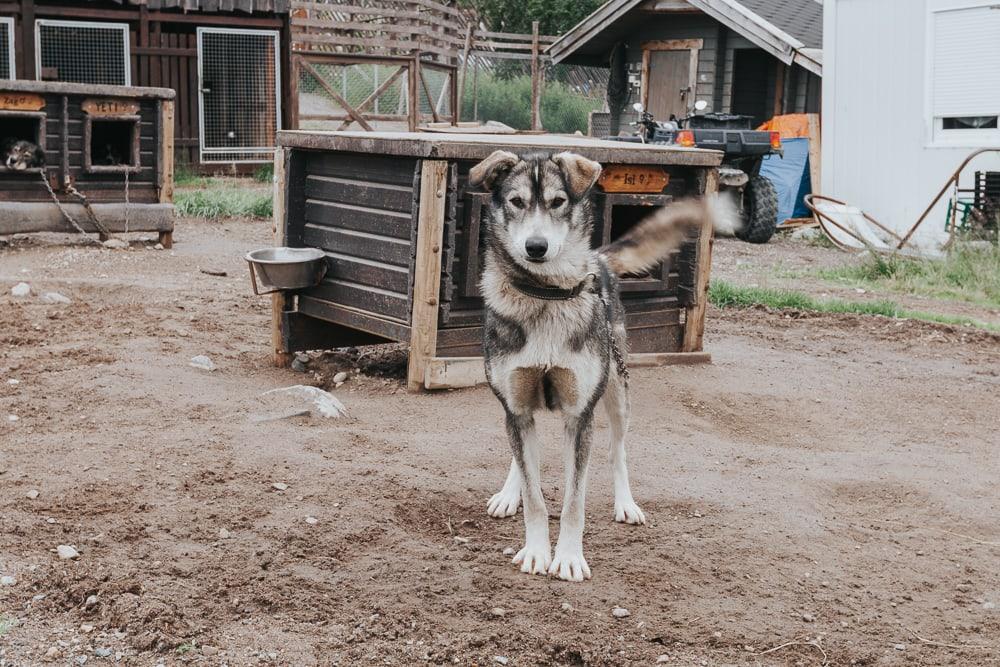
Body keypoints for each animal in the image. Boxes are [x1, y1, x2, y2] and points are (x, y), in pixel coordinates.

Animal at [468, 150, 728, 580]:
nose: (535, 246)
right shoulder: (516, 406)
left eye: (558, 202)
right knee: (523, 458)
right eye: (516, 202)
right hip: (519, 410)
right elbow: (535, 493)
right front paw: (536, 550)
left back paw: (626, 503)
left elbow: (574, 502)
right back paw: (509, 493)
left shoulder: (580, 415)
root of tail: (599, 257)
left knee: (616, 452)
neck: (546, 296)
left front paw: (569, 558)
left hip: (617, 392)